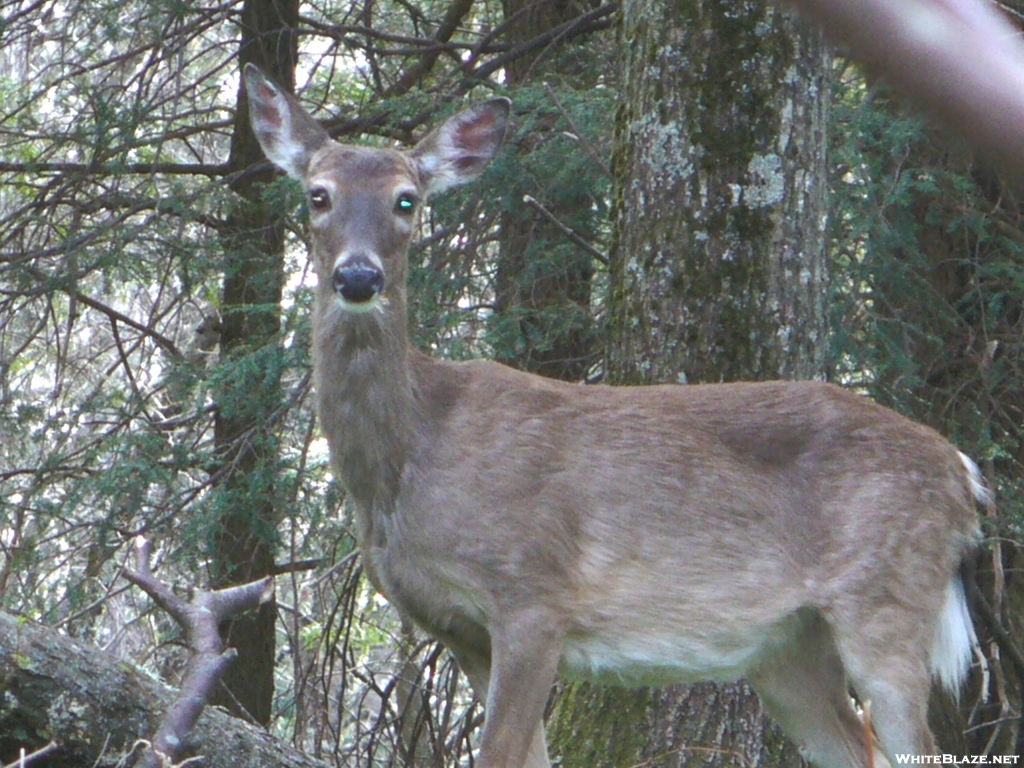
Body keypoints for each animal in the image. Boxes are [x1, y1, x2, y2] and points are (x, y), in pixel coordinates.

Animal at [243, 66, 987, 768]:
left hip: (887, 598)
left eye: (407, 199)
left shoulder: (534, 595)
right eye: (317, 194)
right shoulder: (461, 631)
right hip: (789, 649)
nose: (357, 277)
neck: (411, 458)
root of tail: (964, 472)